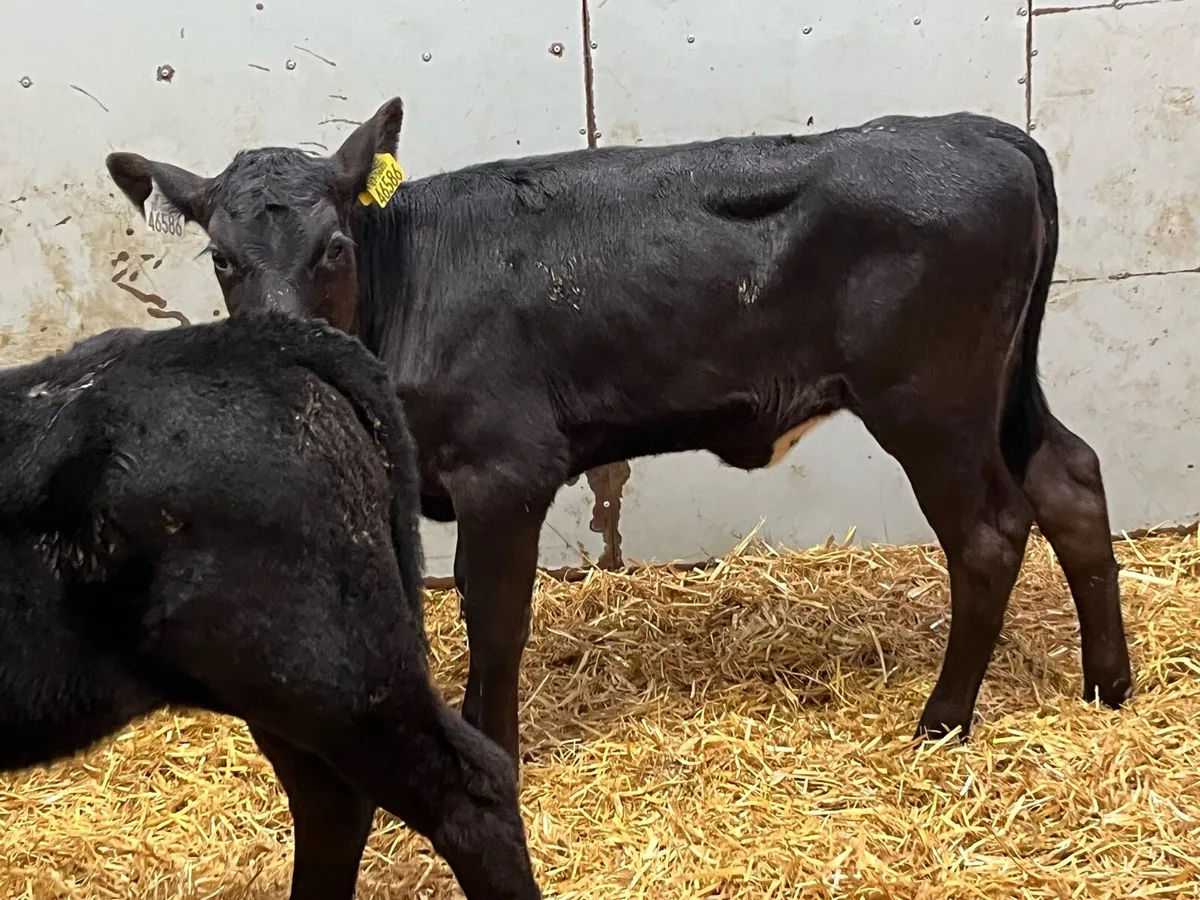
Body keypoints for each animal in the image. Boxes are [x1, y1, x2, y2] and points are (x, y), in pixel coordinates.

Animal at [106, 98, 1135, 766]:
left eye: (332, 248)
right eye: (223, 260)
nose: (285, 343)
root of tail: (975, 128)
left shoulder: (503, 469)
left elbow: (496, 613)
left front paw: (497, 747)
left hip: (930, 397)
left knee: (990, 531)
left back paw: (943, 720)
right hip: (1000, 386)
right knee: (1071, 478)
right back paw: (1108, 683)